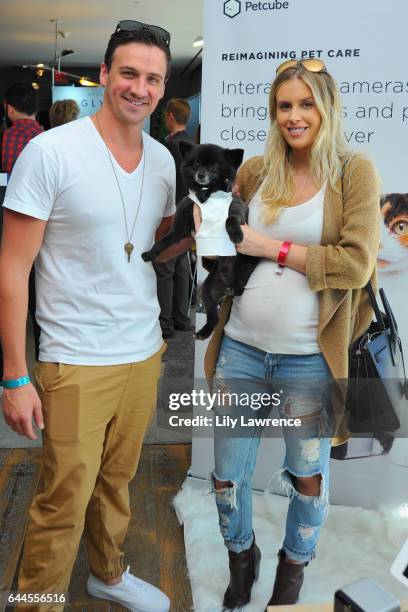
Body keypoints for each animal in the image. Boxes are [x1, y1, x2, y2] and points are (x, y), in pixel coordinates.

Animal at [143, 142, 258, 340]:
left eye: (215, 167)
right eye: (195, 165)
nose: (201, 174)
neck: (207, 196)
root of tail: (224, 288)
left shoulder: (237, 209)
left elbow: (230, 219)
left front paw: (236, 235)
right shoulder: (181, 227)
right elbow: (164, 241)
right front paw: (151, 253)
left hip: (243, 267)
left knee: (240, 282)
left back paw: (234, 285)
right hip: (208, 291)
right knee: (215, 317)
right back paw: (204, 332)